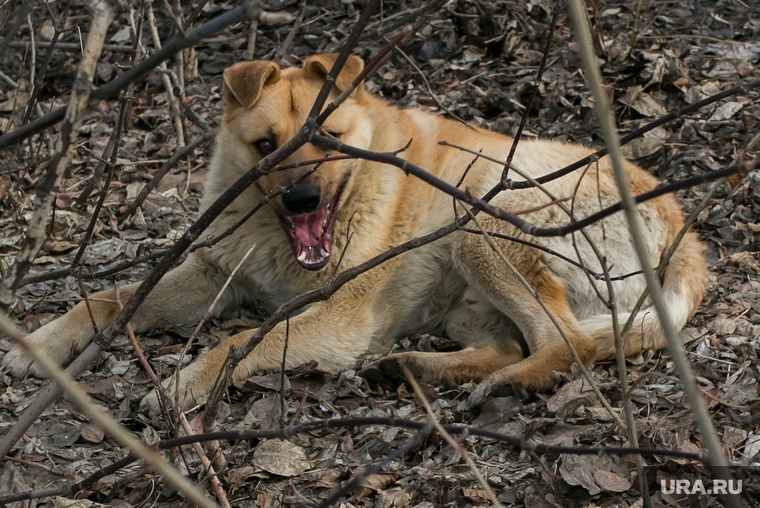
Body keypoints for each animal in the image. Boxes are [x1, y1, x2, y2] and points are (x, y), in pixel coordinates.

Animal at [2, 54, 708, 412]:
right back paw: (416, 368)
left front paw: (187, 383)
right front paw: (43, 341)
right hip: (466, 293)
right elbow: (109, 299)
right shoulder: (214, 275)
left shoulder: (335, 315)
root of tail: (685, 236)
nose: (303, 198)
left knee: (568, 346)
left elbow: (244, 341)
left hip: (481, 214)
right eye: (267, 146)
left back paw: (501, 385)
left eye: (332, 140)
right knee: (516, 342)